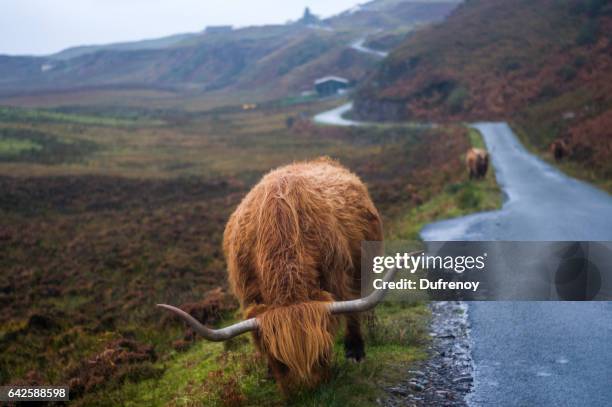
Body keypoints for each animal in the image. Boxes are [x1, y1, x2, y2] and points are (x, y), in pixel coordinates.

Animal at [157, 159, 406, 392]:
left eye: (321, 355)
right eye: (280, 361)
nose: (306, 391)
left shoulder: (337, 275)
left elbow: (351, 310)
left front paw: (354, 352)